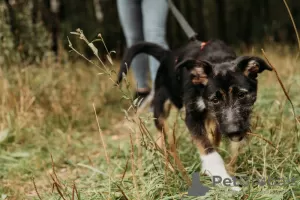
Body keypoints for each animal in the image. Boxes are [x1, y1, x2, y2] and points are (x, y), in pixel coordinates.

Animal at [116, 38, 274, 190]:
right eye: (215, 99)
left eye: (241, 95)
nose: (233, 132)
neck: (218, 58)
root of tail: (167, 55)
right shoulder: (192, 116)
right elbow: (207, 147)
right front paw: (221, 176)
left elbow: (224, 145)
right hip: (161, 105)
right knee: (161, 131)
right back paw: (165, 157)